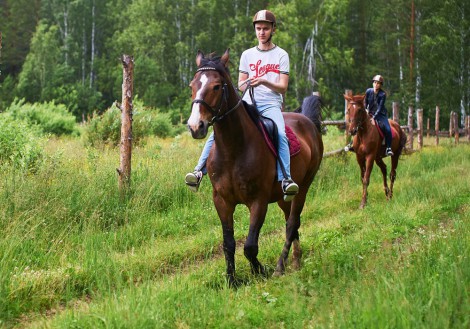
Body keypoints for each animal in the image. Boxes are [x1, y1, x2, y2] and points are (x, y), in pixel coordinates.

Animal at [187, 49, 324, 284]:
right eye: (192, 85)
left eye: (216, 86)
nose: (196, 126)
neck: (234, 149)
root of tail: (307, 121)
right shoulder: (222, 201)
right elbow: (229, 243)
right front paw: (231, 280)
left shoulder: (258, 201)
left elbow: (250, 246)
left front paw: (260, 271)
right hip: (283, 197)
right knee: (291, 222)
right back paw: (296, 261)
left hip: (303, 188)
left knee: (292, 224)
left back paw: (280, 266)